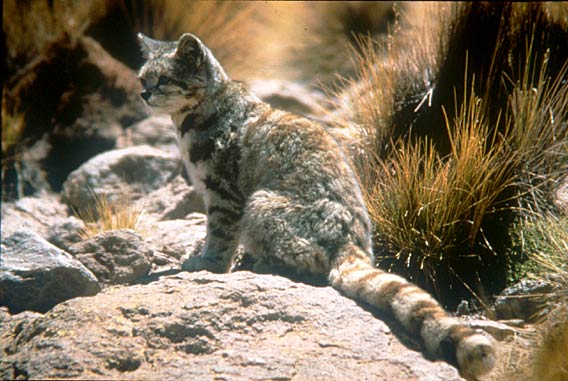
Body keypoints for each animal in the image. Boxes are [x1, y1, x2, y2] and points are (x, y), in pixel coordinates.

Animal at [136, 32, 492, 378]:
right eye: (143, 78)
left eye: (164, 79)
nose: (143, 94)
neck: (195, 113)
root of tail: (351, 242)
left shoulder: (224, 190)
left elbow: (220, 234)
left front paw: (208, 263)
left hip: (261, 204)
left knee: (308, 262)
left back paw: (263, 263)